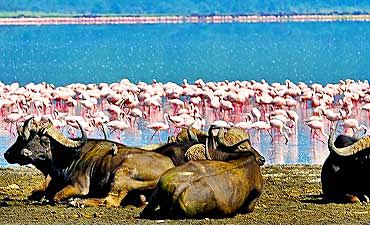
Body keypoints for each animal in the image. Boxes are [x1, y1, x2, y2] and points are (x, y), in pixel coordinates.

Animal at [3, 118, 175, 207]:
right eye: (24, 138)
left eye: (44, 140)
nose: (24, 152)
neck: (68, 158)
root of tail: (170, 167)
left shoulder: (79, 186)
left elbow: (56, 197)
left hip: (120, 176)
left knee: (109, 201)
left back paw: (77, 202)